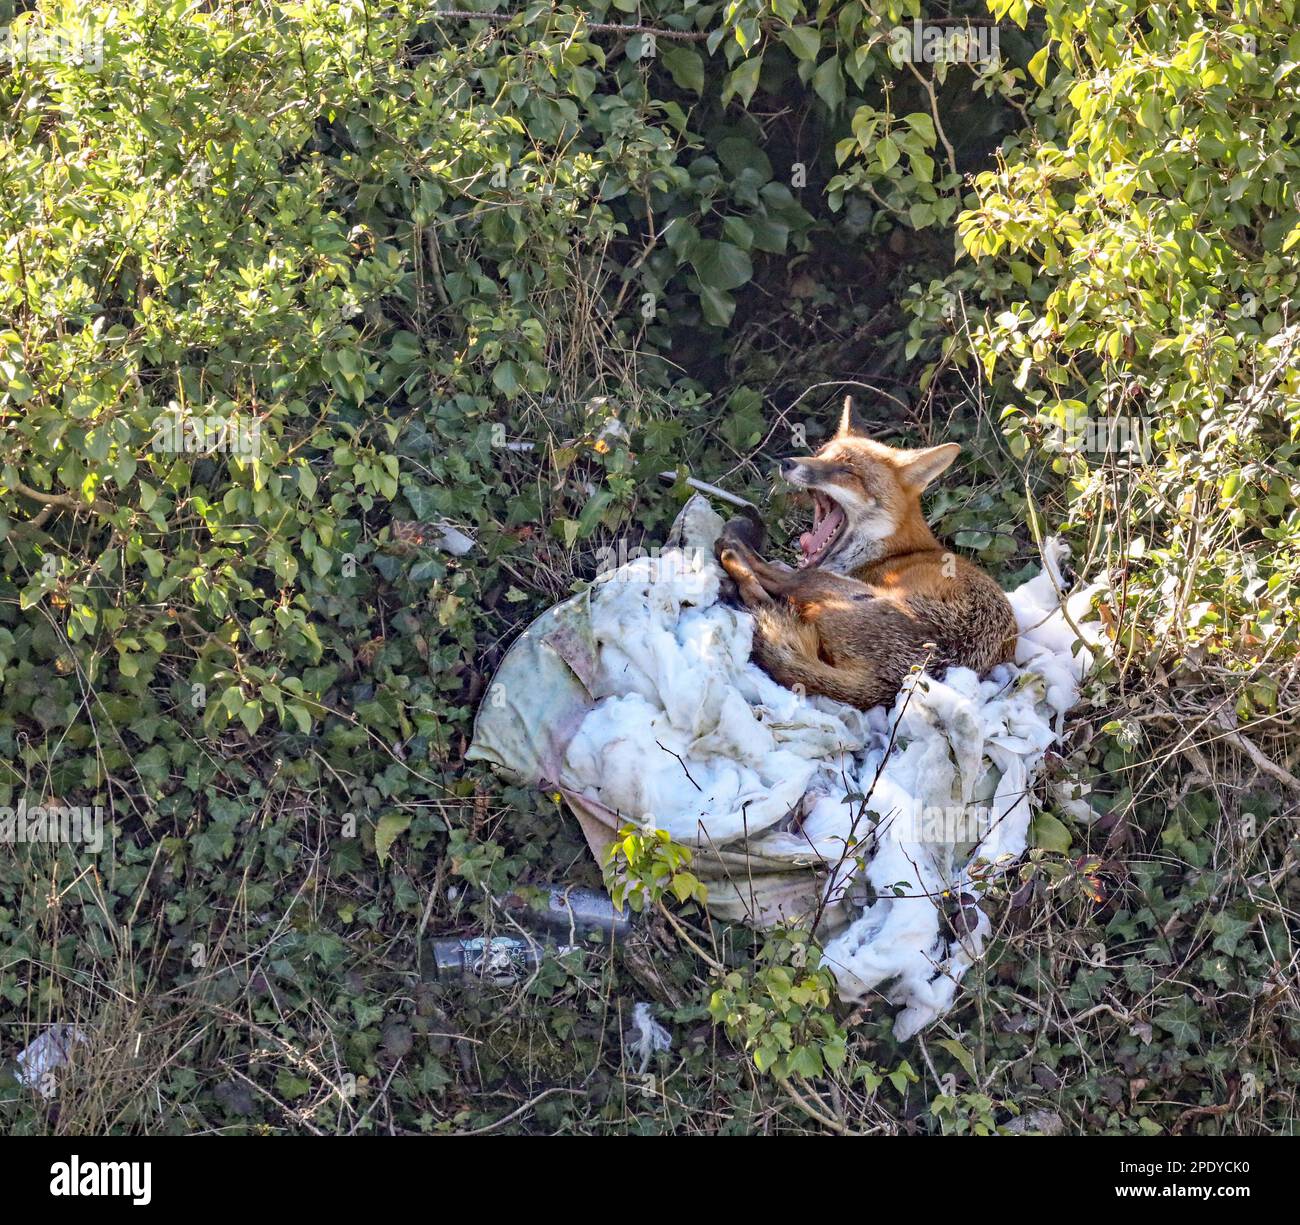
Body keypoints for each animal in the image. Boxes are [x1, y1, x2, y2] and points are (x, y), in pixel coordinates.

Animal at [716, 398, 1018, 710]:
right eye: (820, 455)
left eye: (847, 471)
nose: (788, 463)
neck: (889, 552)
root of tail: (892, 684)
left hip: (819, 583)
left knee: (765, 589)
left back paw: (734, 547)